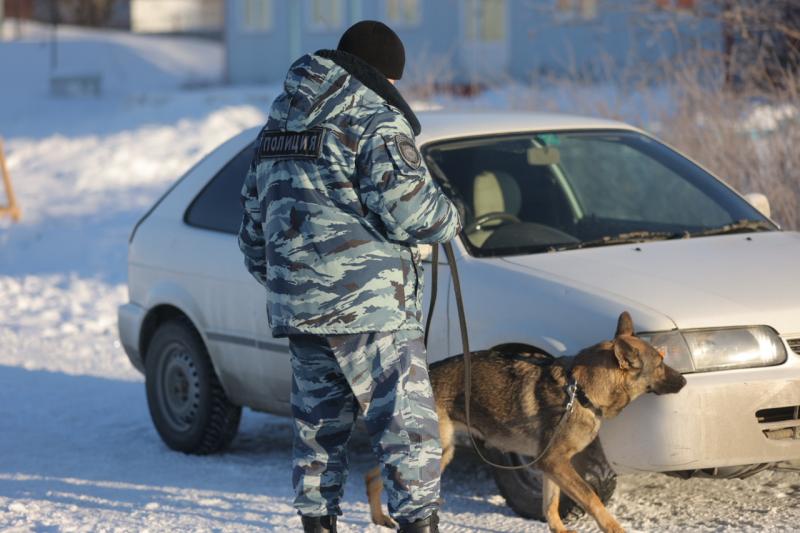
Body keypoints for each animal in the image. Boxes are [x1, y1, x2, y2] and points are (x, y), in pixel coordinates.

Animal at [366, 312, 684, 532]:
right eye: (660, 363)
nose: (683, 380)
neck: (581, 392)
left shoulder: (551, 466)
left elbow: (551, 506)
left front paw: (559, 529)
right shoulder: (556, 463)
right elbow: (592, 499)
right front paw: (614, 528)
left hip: (439, 451)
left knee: (373, 473)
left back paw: (380, 517)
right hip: (436, 452)